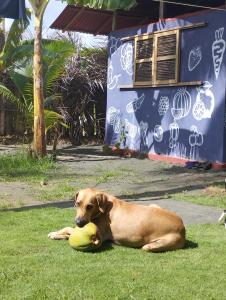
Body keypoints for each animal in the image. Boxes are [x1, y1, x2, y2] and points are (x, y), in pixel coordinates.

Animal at [47, 189, 185, 252]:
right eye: (77, 204)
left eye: (90, 206)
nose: (79, 222)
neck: (103, 208)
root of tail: (182, 227)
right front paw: (56, 234)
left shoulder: (100, 235)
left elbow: (69, 229)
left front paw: (56, 234)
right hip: (153, 205)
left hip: (152, 245)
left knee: (147, 247)